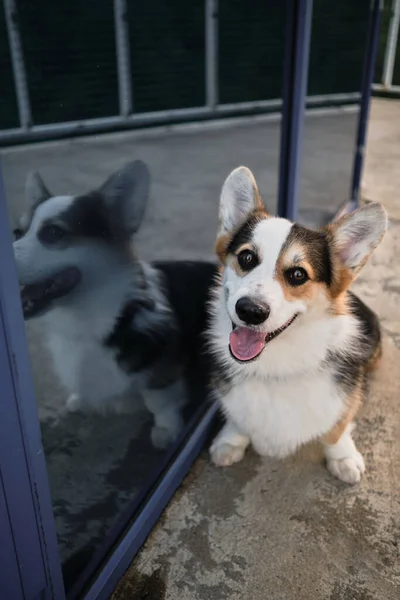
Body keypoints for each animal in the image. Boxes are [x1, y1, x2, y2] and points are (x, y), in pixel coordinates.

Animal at [208, 165, 386, 482]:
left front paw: (343, 458)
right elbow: (238, 417)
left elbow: (337, 427)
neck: (275, 366)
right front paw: (231, 441)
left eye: (298, 275)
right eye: (246, 257)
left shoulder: (344, 399)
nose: (250, 311)